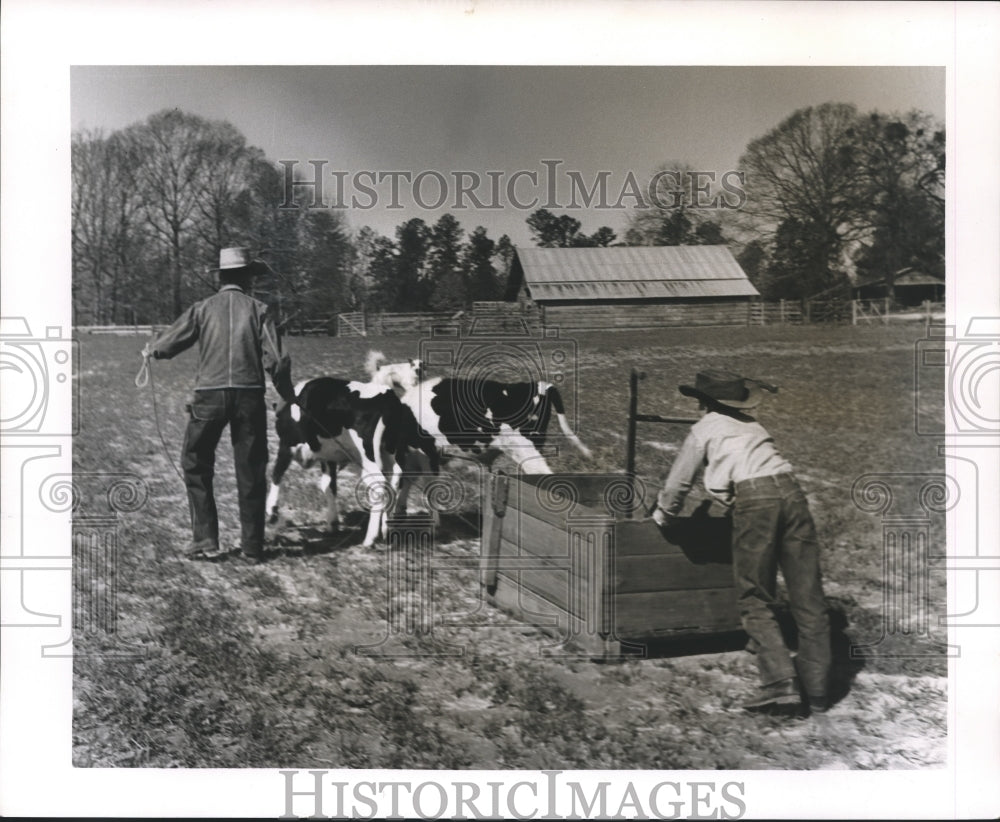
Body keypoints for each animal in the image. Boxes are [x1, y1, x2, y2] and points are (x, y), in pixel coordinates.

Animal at [266, 358, 438, 548]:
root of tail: (389, 398)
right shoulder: (328, 456)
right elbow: (328, 486)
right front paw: (332, 523)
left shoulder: (286, 444)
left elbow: (276, 474)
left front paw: (271, 512)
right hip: (390, 454)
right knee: (395, 484)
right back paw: (388, 530)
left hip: (369, 458)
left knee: (381, 486)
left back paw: (370, 538)